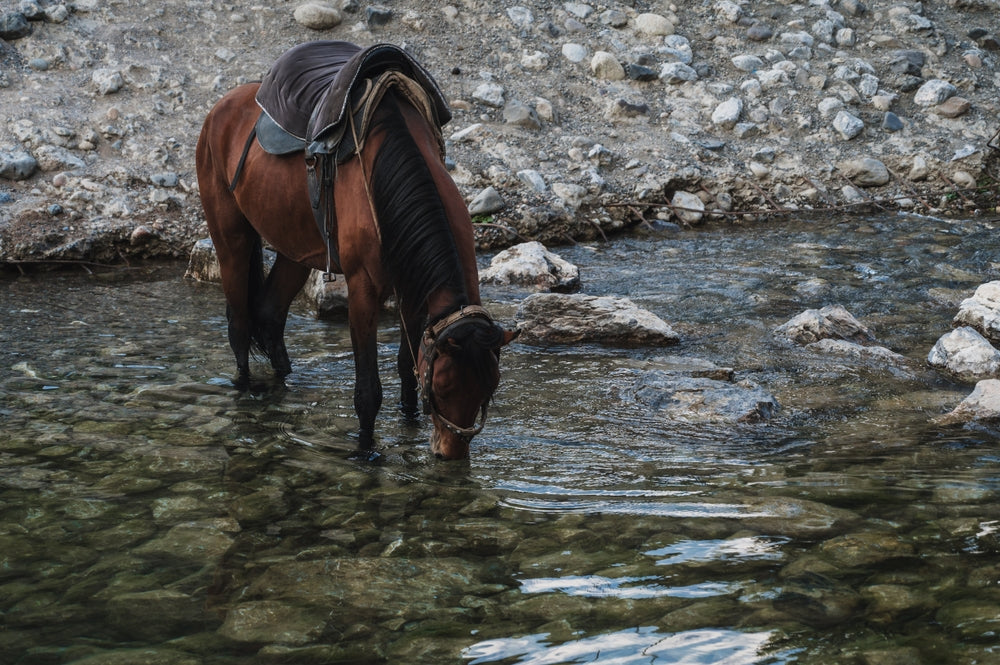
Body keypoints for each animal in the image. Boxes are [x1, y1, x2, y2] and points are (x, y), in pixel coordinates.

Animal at [195, 41, 517, 460]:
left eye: (489, 388)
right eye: (444, 388)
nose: (451, 455)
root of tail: (221, 108)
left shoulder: (412, 291)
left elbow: (407, 368)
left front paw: (409, 428)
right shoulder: (363, 291)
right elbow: (368, 391)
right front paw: (367, 454)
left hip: (295, 252)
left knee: (269, 315)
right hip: (230, 238)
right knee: (239, 325)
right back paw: (246, 396)